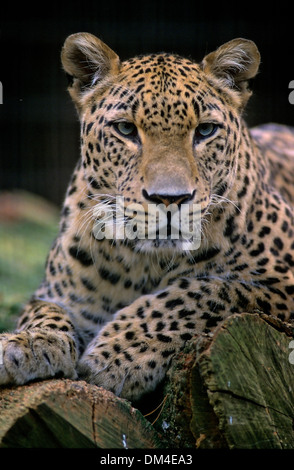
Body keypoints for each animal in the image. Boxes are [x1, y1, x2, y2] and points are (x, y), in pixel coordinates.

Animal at [0, 32, 294, 400]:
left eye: (205, 131)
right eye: (126, 129)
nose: (169, 198)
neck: (147, 263)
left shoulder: (280, 283)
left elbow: (206, 293)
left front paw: (118, 354)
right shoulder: (58, 294)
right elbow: (43, 312)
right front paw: (26, 343)